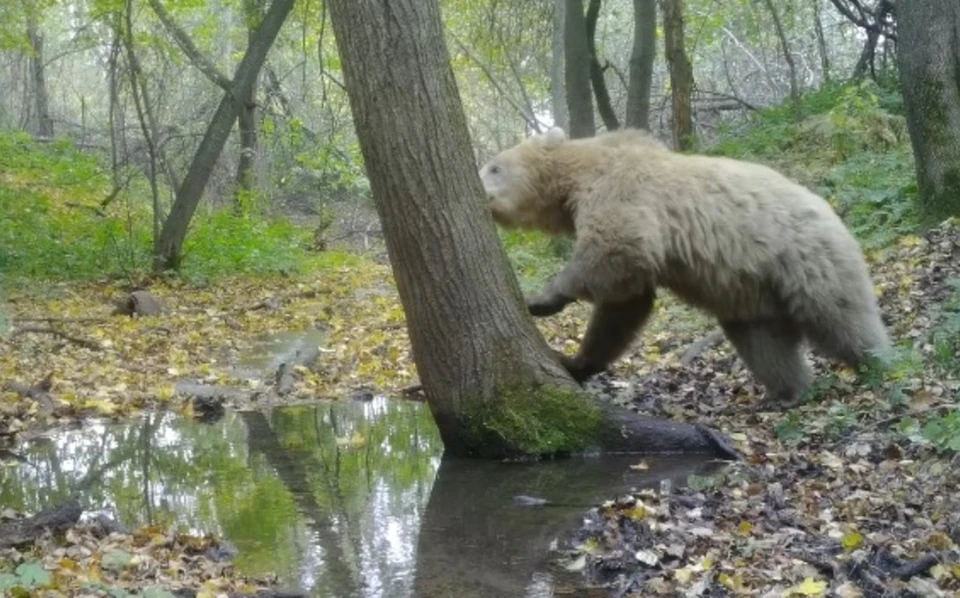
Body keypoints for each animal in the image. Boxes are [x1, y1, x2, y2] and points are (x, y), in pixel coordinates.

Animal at [480, 126, 892, 408]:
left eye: (494, 167)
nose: (483, 189)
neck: (574, 182)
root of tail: (831, 212)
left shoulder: (623, 194)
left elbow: (617, 252)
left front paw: (540, 299)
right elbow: (625, 305)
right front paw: (575, 361)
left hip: (804, 260)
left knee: (841, 319)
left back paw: (880, 363)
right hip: (752, 294)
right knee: (765, 343)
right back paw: (787, 391)